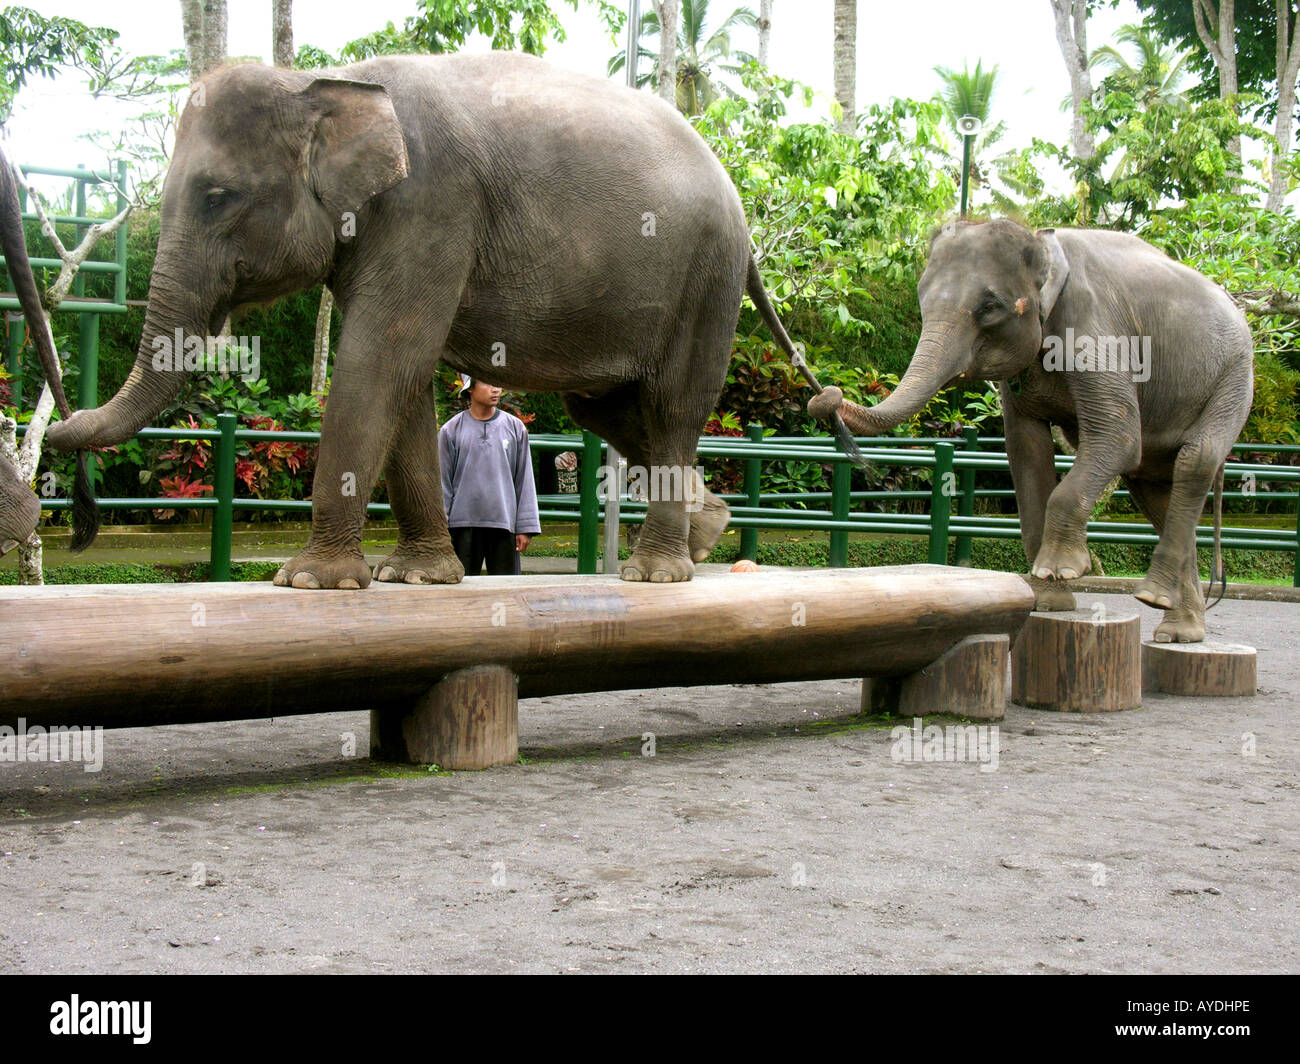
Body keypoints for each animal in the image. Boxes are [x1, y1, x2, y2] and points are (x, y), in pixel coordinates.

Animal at [40, 52, 850, 588]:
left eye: (217, 195)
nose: (49, 430)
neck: (324, 78)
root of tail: (735, 192)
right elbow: (404, 377)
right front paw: (415, 578)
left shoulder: (430, 206)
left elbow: (380, 357)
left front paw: (309, 582)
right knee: (608, 411)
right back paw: (707, 536)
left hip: (707, 277)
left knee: (673, 404)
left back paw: (658, 574)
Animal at [810, 218, 1254, 643]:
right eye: (921, 296)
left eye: (990, 306)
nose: (827, 395)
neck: (1043, 243)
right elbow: (1026, 450)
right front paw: (1046, 600)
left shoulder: (1095, 326)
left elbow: (1119, 437)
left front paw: (1064, 569)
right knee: (1153, 488)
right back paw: (1180, 630)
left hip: (1235, 378)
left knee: (1194, 460)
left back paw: (1154, 597)